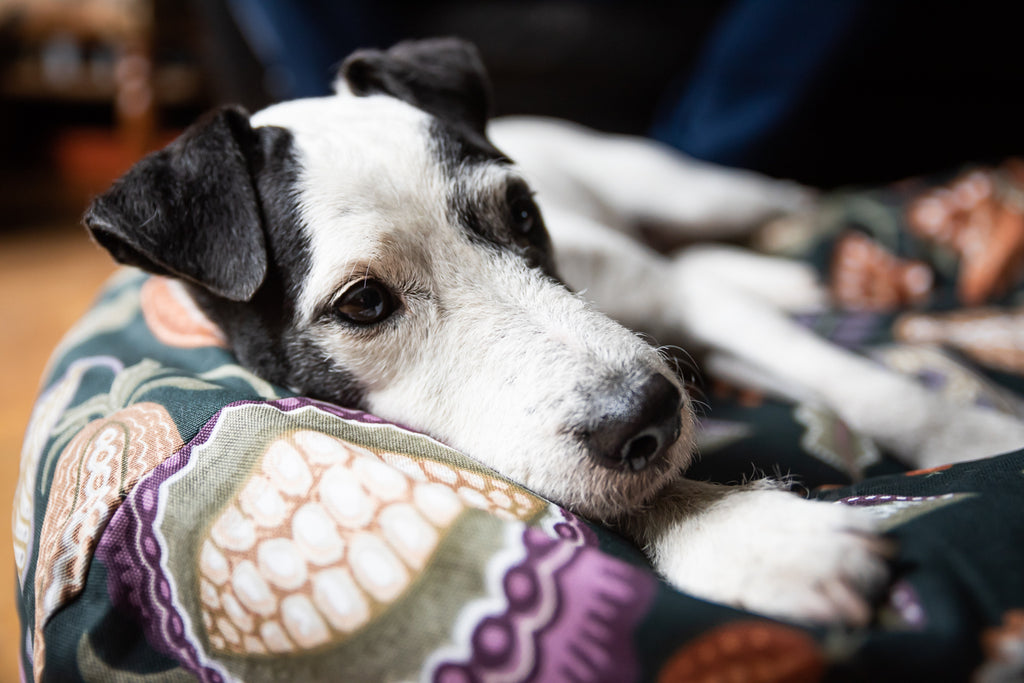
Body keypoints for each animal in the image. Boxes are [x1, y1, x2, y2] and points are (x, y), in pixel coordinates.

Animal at [81, 37, 1024, 626]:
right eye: (363, 303)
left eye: (523, 211)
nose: (649, 415)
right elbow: (611, 493)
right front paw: (751, 536)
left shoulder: (672, 307)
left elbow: (862, 381)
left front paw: (970, 433)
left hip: (698, 193)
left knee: (780, 208)